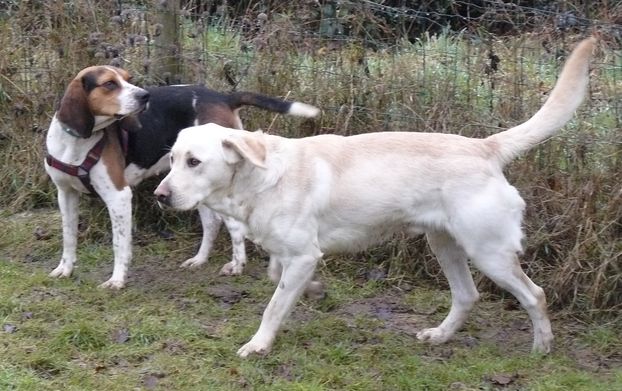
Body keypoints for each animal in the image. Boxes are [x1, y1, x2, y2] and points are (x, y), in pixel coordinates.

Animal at [154, 37, 596, 358]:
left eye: (194, 162)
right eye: (172, 159)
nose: (159, 196)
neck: (262, 177)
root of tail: (484, 147)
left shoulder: (303, 254)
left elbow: (274, 305)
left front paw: (259, 344)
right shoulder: (291, 255)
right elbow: (276, 279)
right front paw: (314, 291)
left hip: (489, 252)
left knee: (534, 295)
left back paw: (542, 347)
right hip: (445, 244)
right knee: (467, 295)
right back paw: (440, 336)